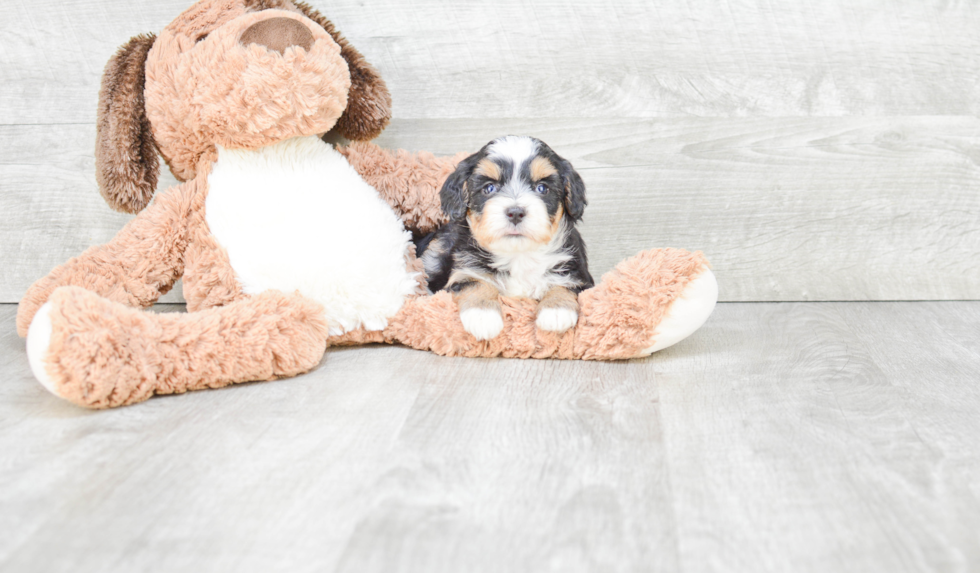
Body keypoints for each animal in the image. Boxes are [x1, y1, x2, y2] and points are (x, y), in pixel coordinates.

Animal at [418, 134, 592, 340]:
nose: (515, 212)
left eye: (542, 188)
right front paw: (482, 315)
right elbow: (475, 283)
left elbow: (565, 284)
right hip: (436, 249)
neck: (519, 255)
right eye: (489, 188)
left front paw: (556, 310)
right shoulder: (465, 269)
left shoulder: (578, 274)